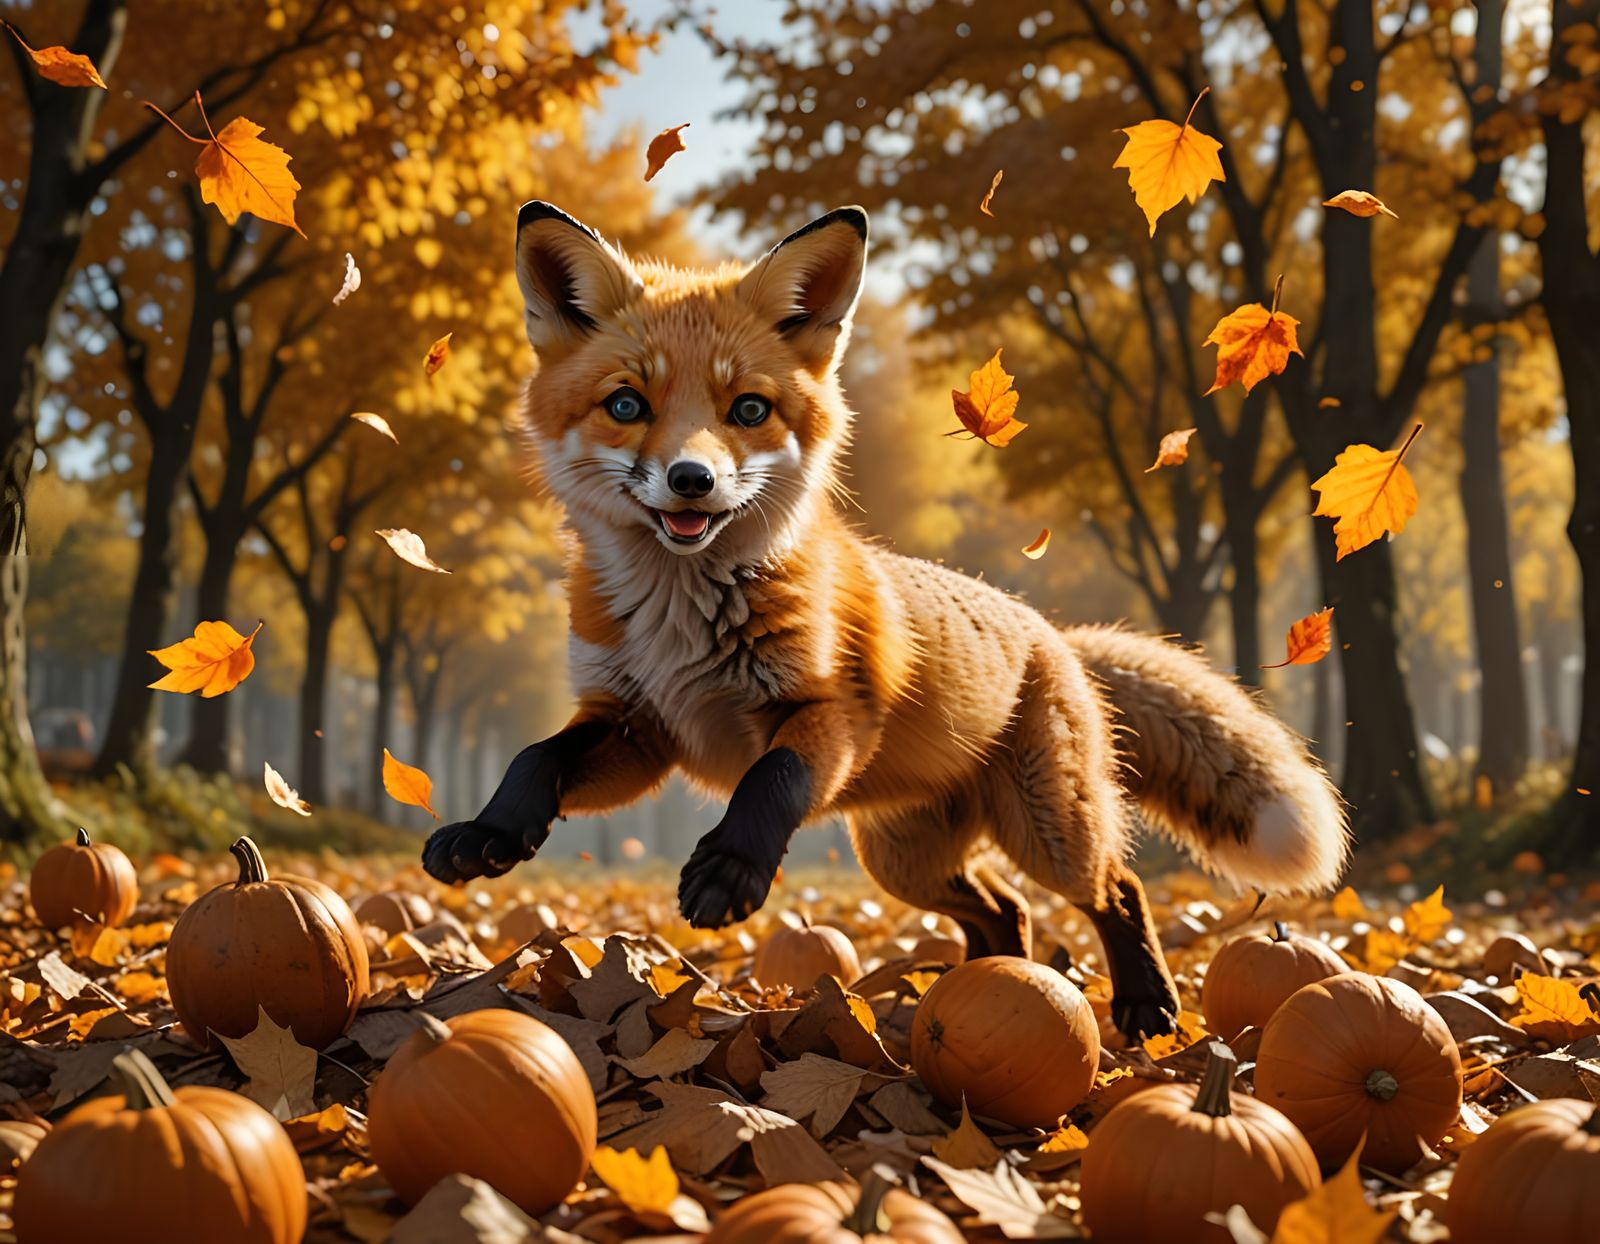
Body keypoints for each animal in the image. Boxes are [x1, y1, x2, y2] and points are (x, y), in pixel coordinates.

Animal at [421, 200, 1349, 1038]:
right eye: (625, 405)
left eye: (748, 410)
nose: (692, 480)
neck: (679, 621)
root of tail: (1054, 631)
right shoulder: (638, 727)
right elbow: (537, 756)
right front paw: (490, 831)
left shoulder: (828, 716)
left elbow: (771, 780)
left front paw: (731, 869)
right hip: (903, 860)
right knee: (1003, 911)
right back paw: (975, 995)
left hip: (1044, 832)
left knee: (1113, 889)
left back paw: (1145, 1006)